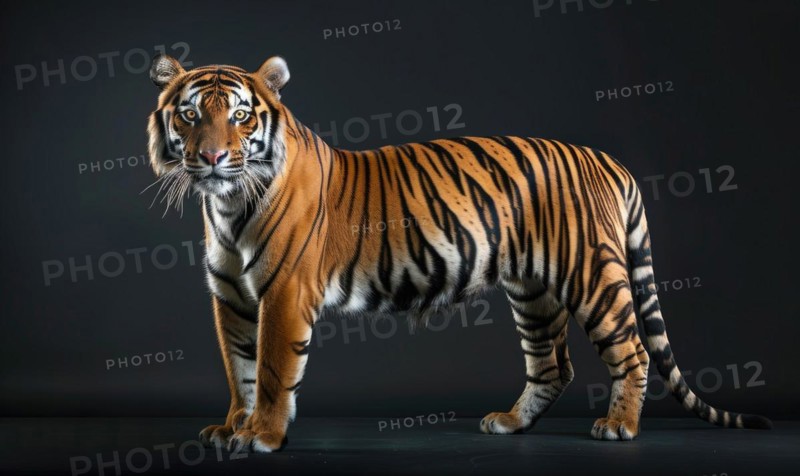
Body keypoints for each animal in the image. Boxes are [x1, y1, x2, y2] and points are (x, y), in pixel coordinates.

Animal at [146, 54, 771, 453]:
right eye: (191, 114)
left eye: (241, 115)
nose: (213, 157)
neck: (226, 205)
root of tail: (609, 161)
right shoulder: (231, 297)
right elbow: (240, 370)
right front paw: (232, 427)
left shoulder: (283, 293)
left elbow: (274, 371)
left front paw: (263, 436)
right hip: (533, 292)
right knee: (553, 364)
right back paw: (511, 423)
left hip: (592, 275)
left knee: (634, 351)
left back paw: (619, 427)